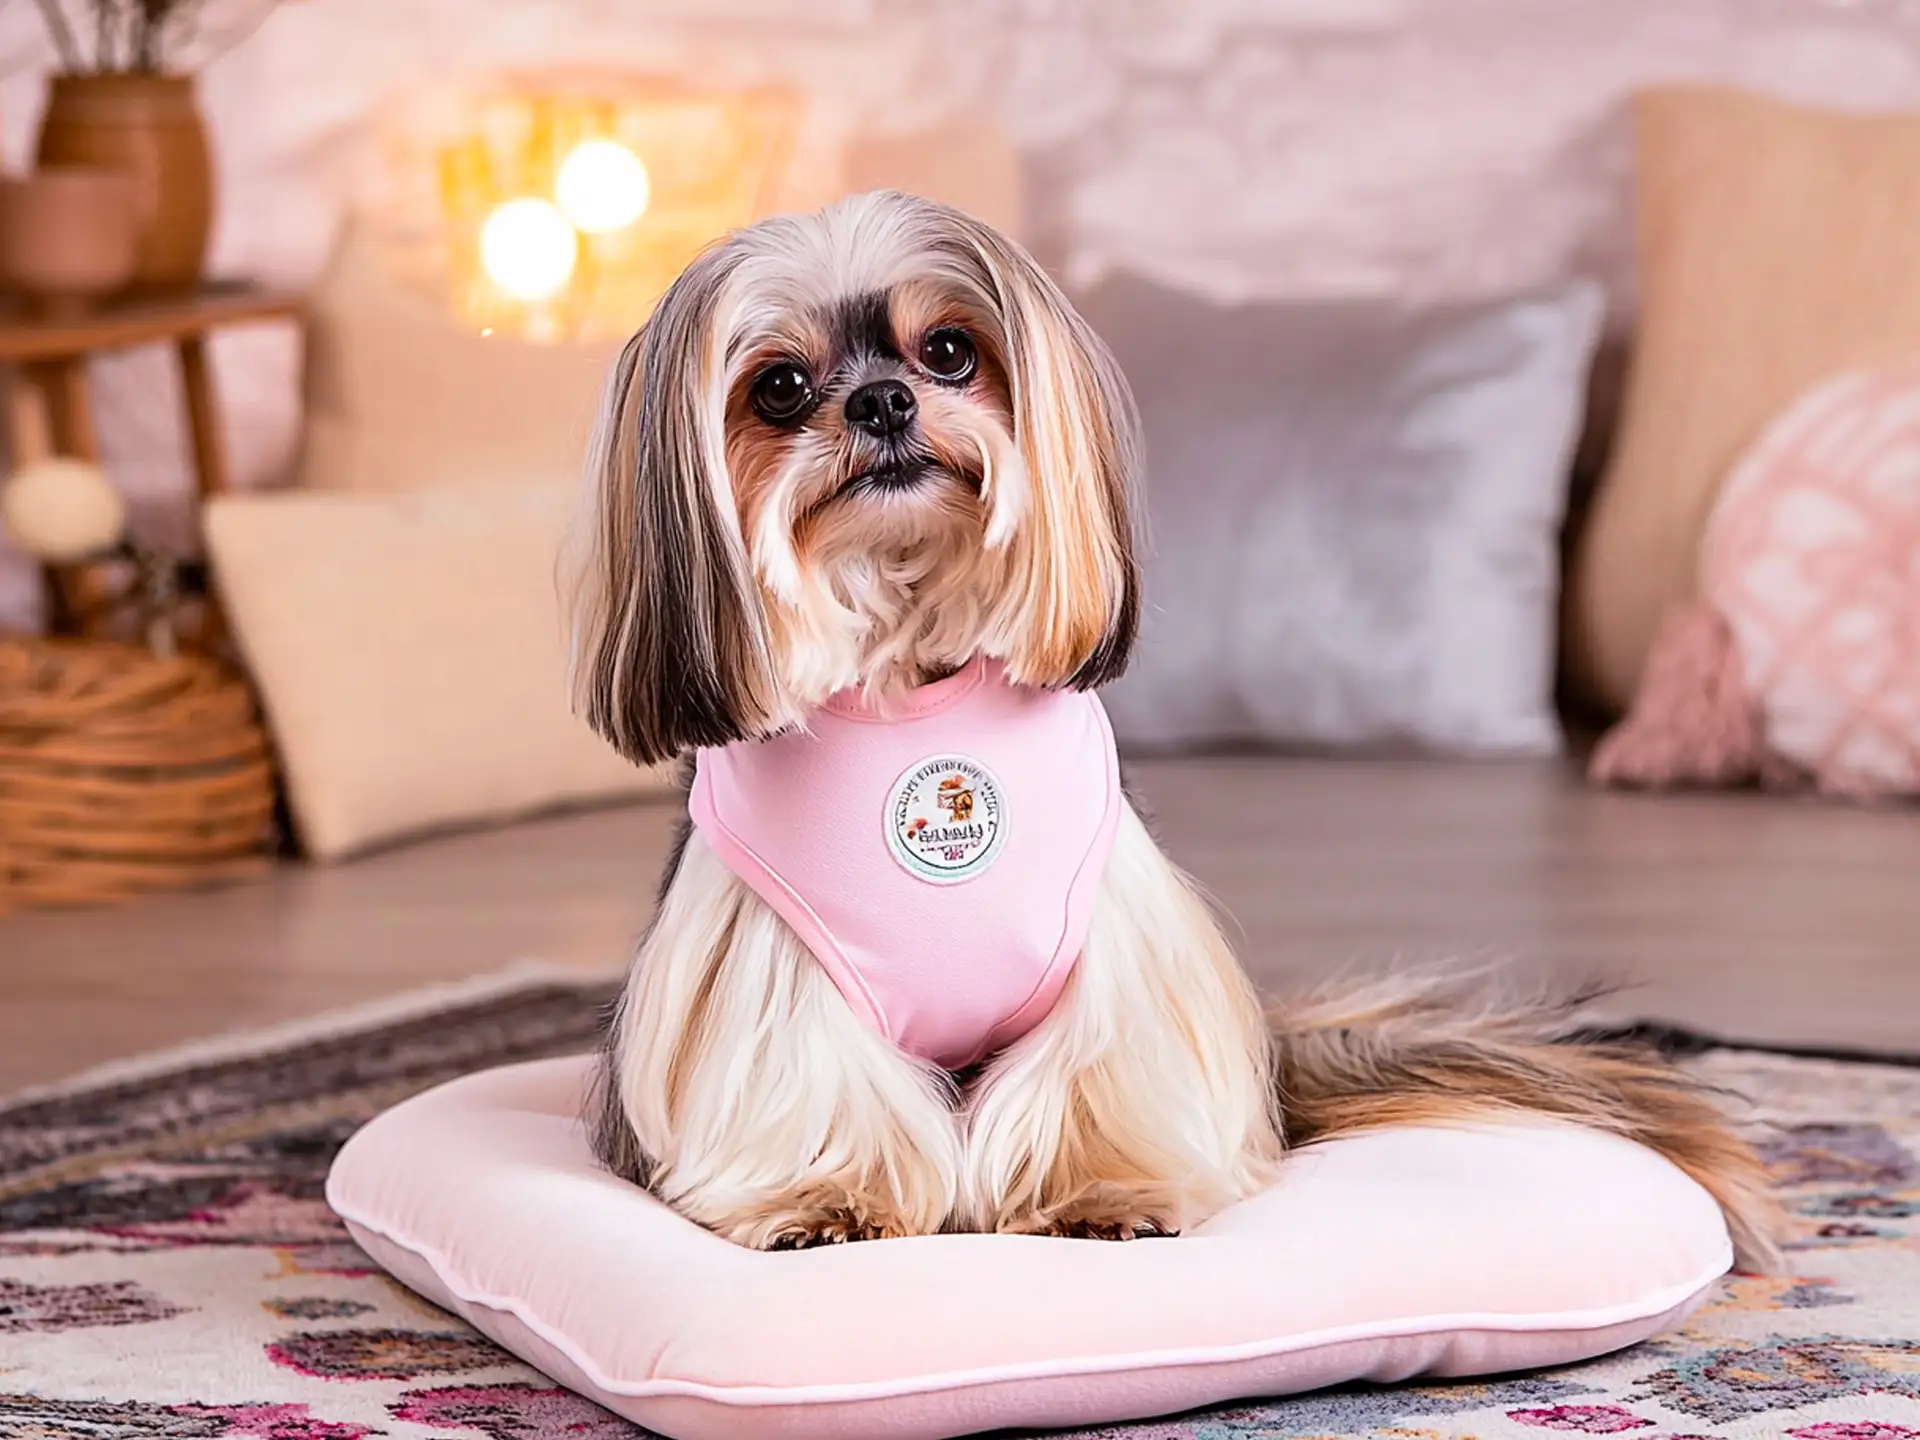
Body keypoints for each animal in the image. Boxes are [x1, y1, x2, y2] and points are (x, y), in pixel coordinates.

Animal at [564, 186, 1781, 1267]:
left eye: (949, 352)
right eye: (778, 387)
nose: (881, 405)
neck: (909, 666)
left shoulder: (1111, 943)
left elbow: (1089, 1071)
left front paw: (1104, 1196)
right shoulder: (766, 959)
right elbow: (815, 1073)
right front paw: (827, 1200)